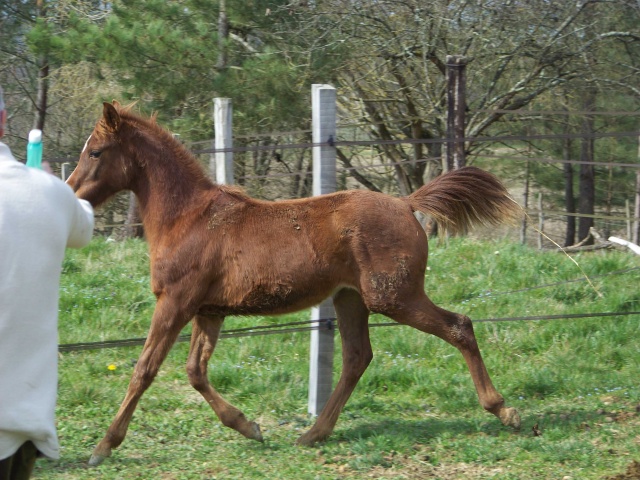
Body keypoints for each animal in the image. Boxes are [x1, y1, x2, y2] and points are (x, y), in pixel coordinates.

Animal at [67, 102, 524, 464]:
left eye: (96, 151)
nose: (71, 193)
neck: (189, 219)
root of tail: (406, 203)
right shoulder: (208, 310)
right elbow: (195, 371)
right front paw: (248, 426)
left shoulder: (175, 301)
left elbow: (145, 369)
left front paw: (103, 447)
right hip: (351, 299)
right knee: (357, 357)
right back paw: (313, 433)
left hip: (393, 296)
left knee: (459, 326)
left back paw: (504, 411)